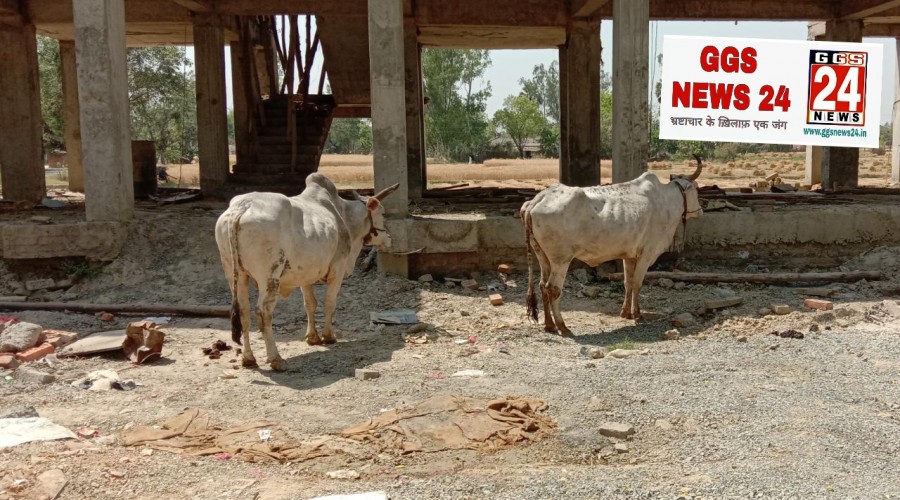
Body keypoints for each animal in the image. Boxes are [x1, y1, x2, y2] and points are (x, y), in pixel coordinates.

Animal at [214, 173, 399, 371]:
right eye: (382, 213)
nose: (389, 239)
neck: (344, 216)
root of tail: (243, 205)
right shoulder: (338, 268)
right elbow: (329, 303)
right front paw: (328, 336)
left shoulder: (305, 275)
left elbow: (310, 304)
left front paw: (313, 337)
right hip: (269, 277)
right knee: (263, 313)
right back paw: (276, 359)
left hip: (235, 275)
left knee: (244, 313)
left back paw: (248, 359)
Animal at [521, 156, 704, 336]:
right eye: (696, 189)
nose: (701, 211)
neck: (666, 201)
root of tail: (538, 199)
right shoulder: (646, 254)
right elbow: (637, 283)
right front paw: (637, 314)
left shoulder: (629, 256)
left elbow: (628, 282)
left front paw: (626, 313)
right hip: (561, 260)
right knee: (552, 289)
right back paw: (562, 326)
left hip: (542, 256)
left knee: (542, 285)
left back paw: (550, 325)